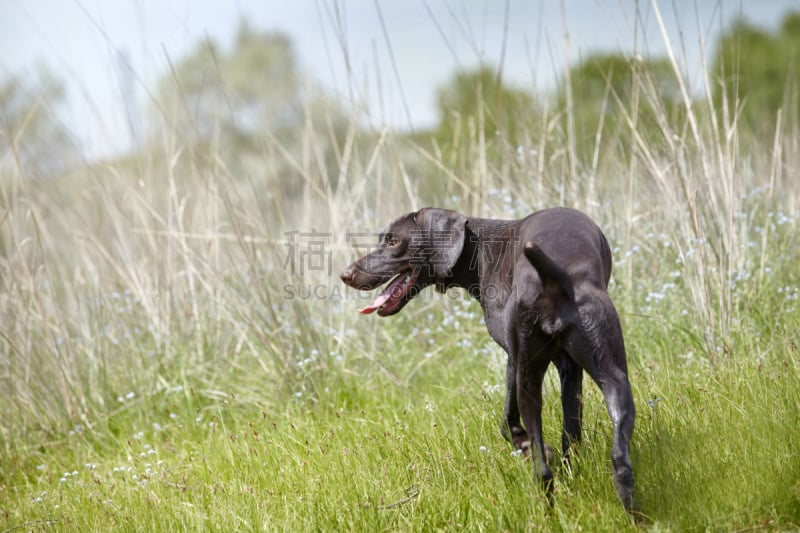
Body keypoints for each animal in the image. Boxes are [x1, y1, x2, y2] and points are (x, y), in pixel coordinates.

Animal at [340, 206, 636, 510]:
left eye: (393, 241)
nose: (345, 274)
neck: (480, 251)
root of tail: (555, 277)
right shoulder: (567, 367)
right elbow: (571, 426)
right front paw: (569, 466)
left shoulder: (515, 361)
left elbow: (508, 423)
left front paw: (535, 449)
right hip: (613, 377)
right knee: (620, 461)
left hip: (530, 377)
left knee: (541, 468)